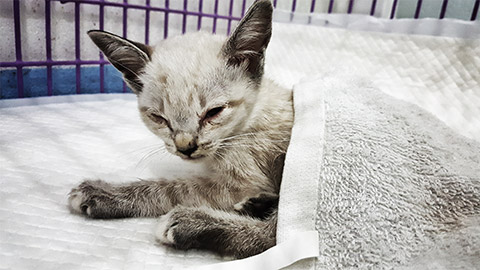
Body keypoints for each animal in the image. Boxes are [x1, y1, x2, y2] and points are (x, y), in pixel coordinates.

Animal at [67, 0, 292, 258]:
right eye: (158, 118)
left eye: (213, 112)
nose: (185, 147)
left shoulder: (241, 183)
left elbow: (169, 188)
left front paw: (102, 193)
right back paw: (254, 205)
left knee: (276, 237)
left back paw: (191, 223)